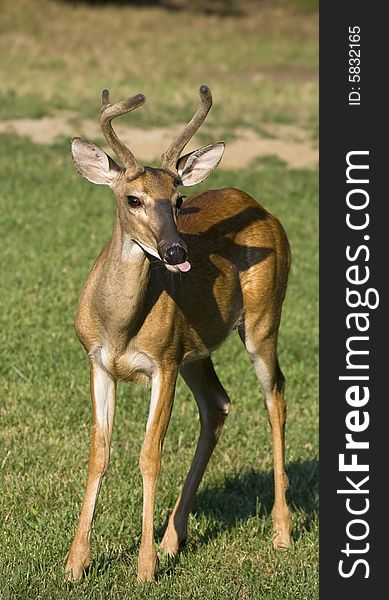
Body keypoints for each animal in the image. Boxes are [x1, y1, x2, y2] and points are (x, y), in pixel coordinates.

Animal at [63, 84, 290, 580]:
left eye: (180, 199)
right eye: (133, 199)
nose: (175, 250)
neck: (121, 327)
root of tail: (263, 209)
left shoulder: (162, 362)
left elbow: (150, 455)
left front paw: (144, 567)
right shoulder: (97, 362)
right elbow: (98, 454)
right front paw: (75, 563)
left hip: (263, 320)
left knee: (276, 396)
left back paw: (281, 532)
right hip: (197, 349)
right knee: (218, 403)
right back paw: (173, 537)